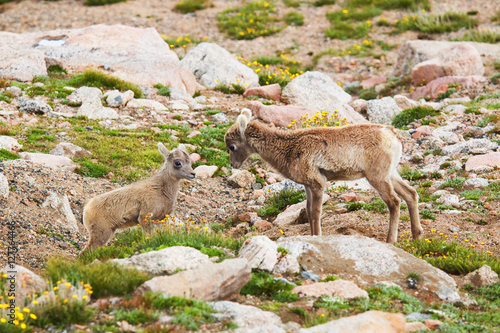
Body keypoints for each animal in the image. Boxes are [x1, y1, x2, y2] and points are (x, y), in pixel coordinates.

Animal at [227, 110, 422, 243]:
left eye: (232, 146)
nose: (233, 165)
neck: (289, 149)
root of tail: (392, 135)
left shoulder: (317, 183)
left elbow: (315, 212)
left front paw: (317, 237)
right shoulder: (307, 185)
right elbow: (308, 210)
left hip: (378, 177)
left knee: (394, 202)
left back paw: (390, 241)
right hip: (391, 174)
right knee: (410, 194)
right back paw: (417, 236)